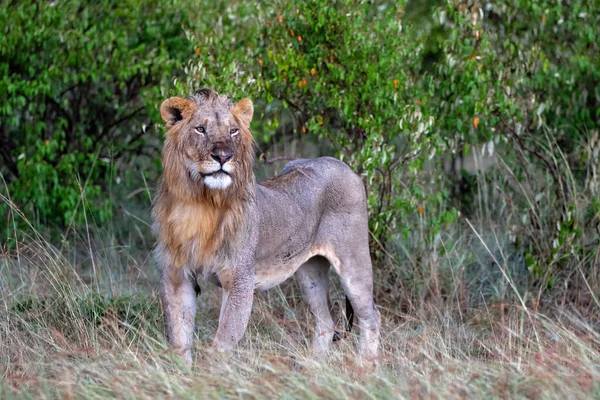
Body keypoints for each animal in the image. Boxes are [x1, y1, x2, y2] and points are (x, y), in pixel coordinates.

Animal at [154, 89, 380, 364]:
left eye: (233, 131)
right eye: (200, 129)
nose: (223, 156)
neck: (202, 203)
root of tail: (345, 166)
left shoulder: (240, 279)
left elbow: (223, 342)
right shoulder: (178, 277)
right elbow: (179, 340)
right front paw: (183, 372)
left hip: (353, 262)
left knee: (371, 316)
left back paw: (366, 365)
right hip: (310, 272)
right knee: (325, 322)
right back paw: (312, 366)